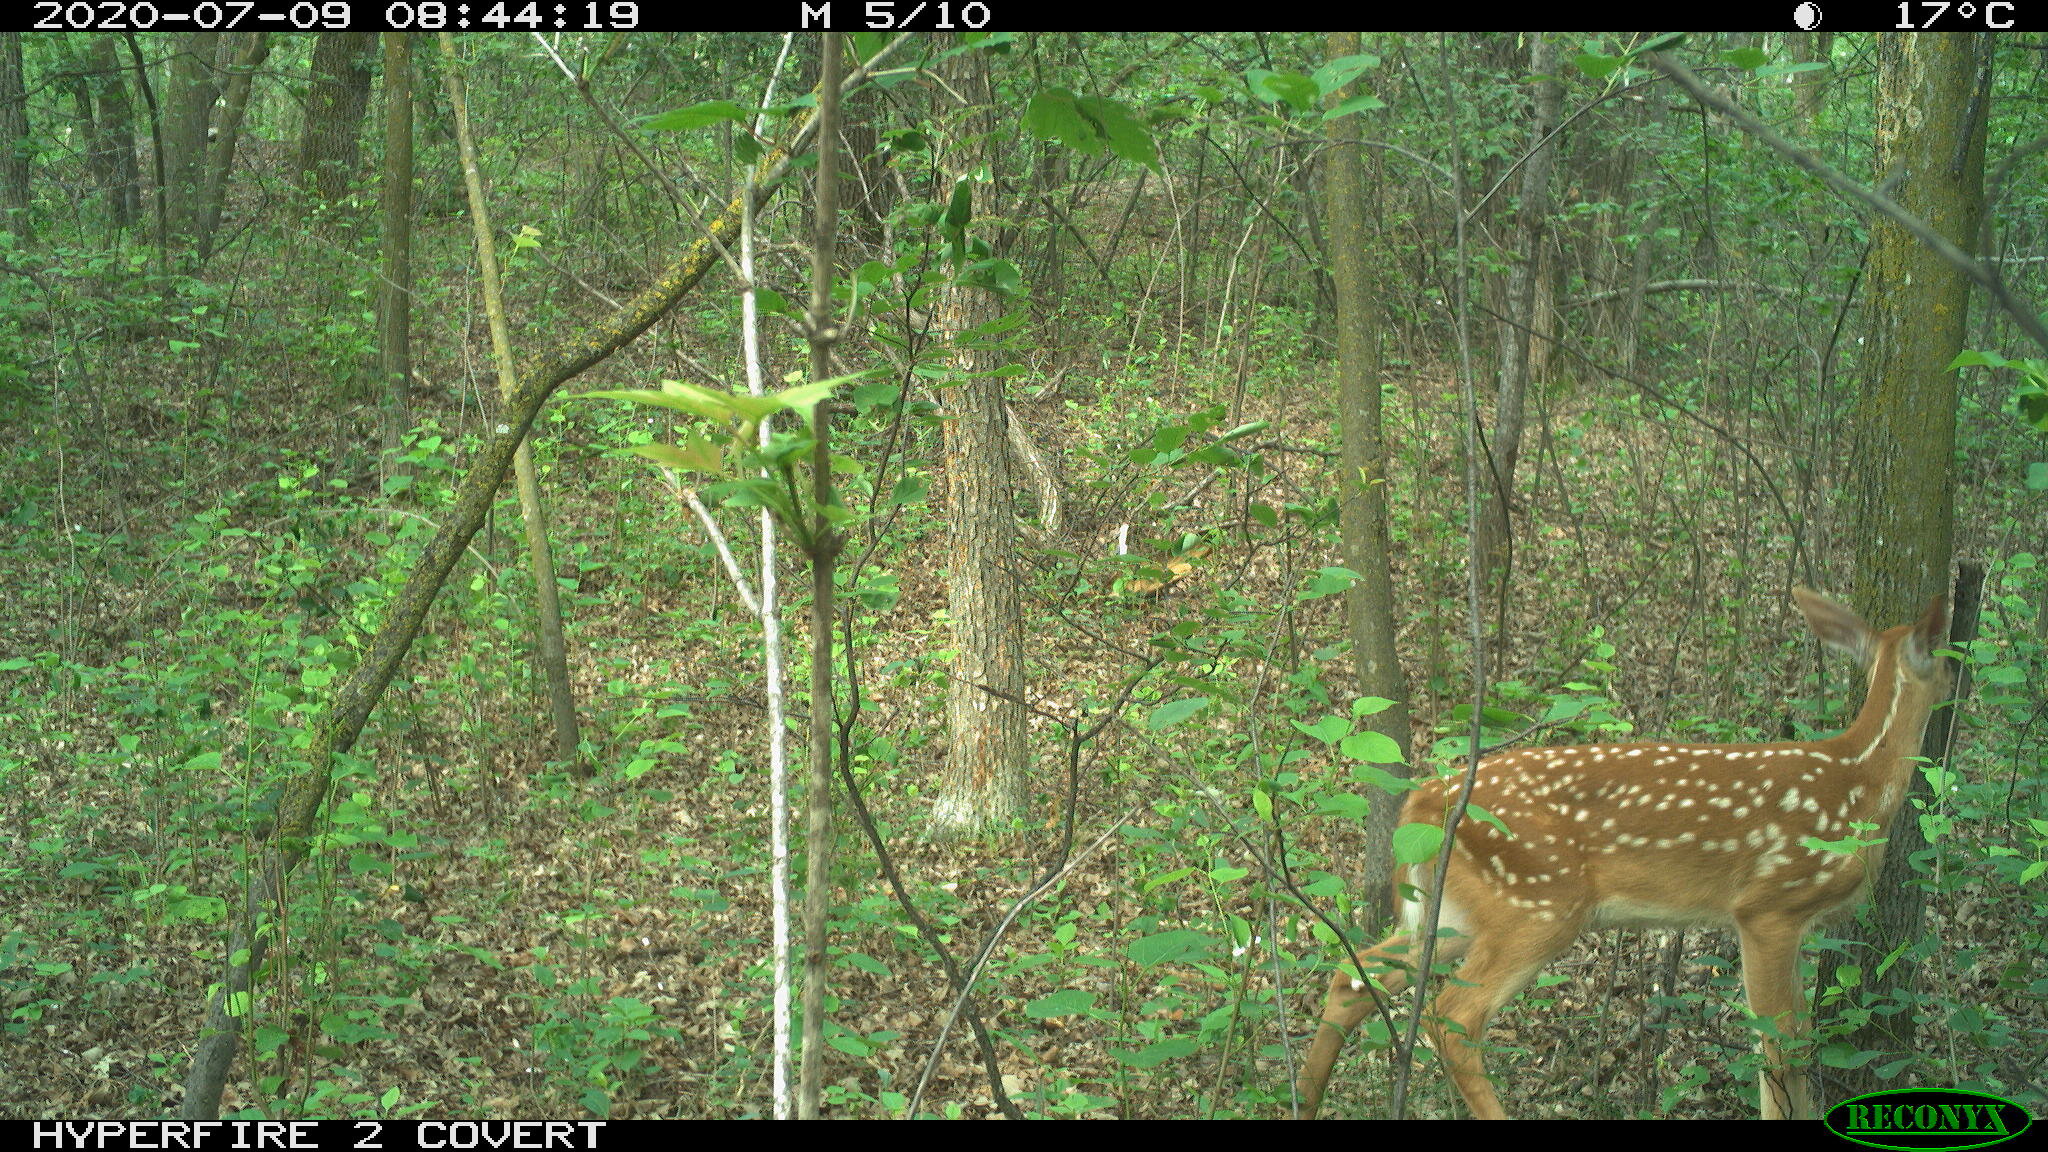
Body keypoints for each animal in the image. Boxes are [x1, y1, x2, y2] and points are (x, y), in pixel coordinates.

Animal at [1297, 587, 1951, 1120]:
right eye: (1947, 655)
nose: (1957, 686)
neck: (1858, 781)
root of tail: (1422, 802)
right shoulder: (1769, 905)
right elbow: (1778, 1042)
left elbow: (1798, 1038)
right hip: (1538, 903)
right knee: (1452, 1014)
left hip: (1453, 910)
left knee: (1355, 975)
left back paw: (1302, 1102)